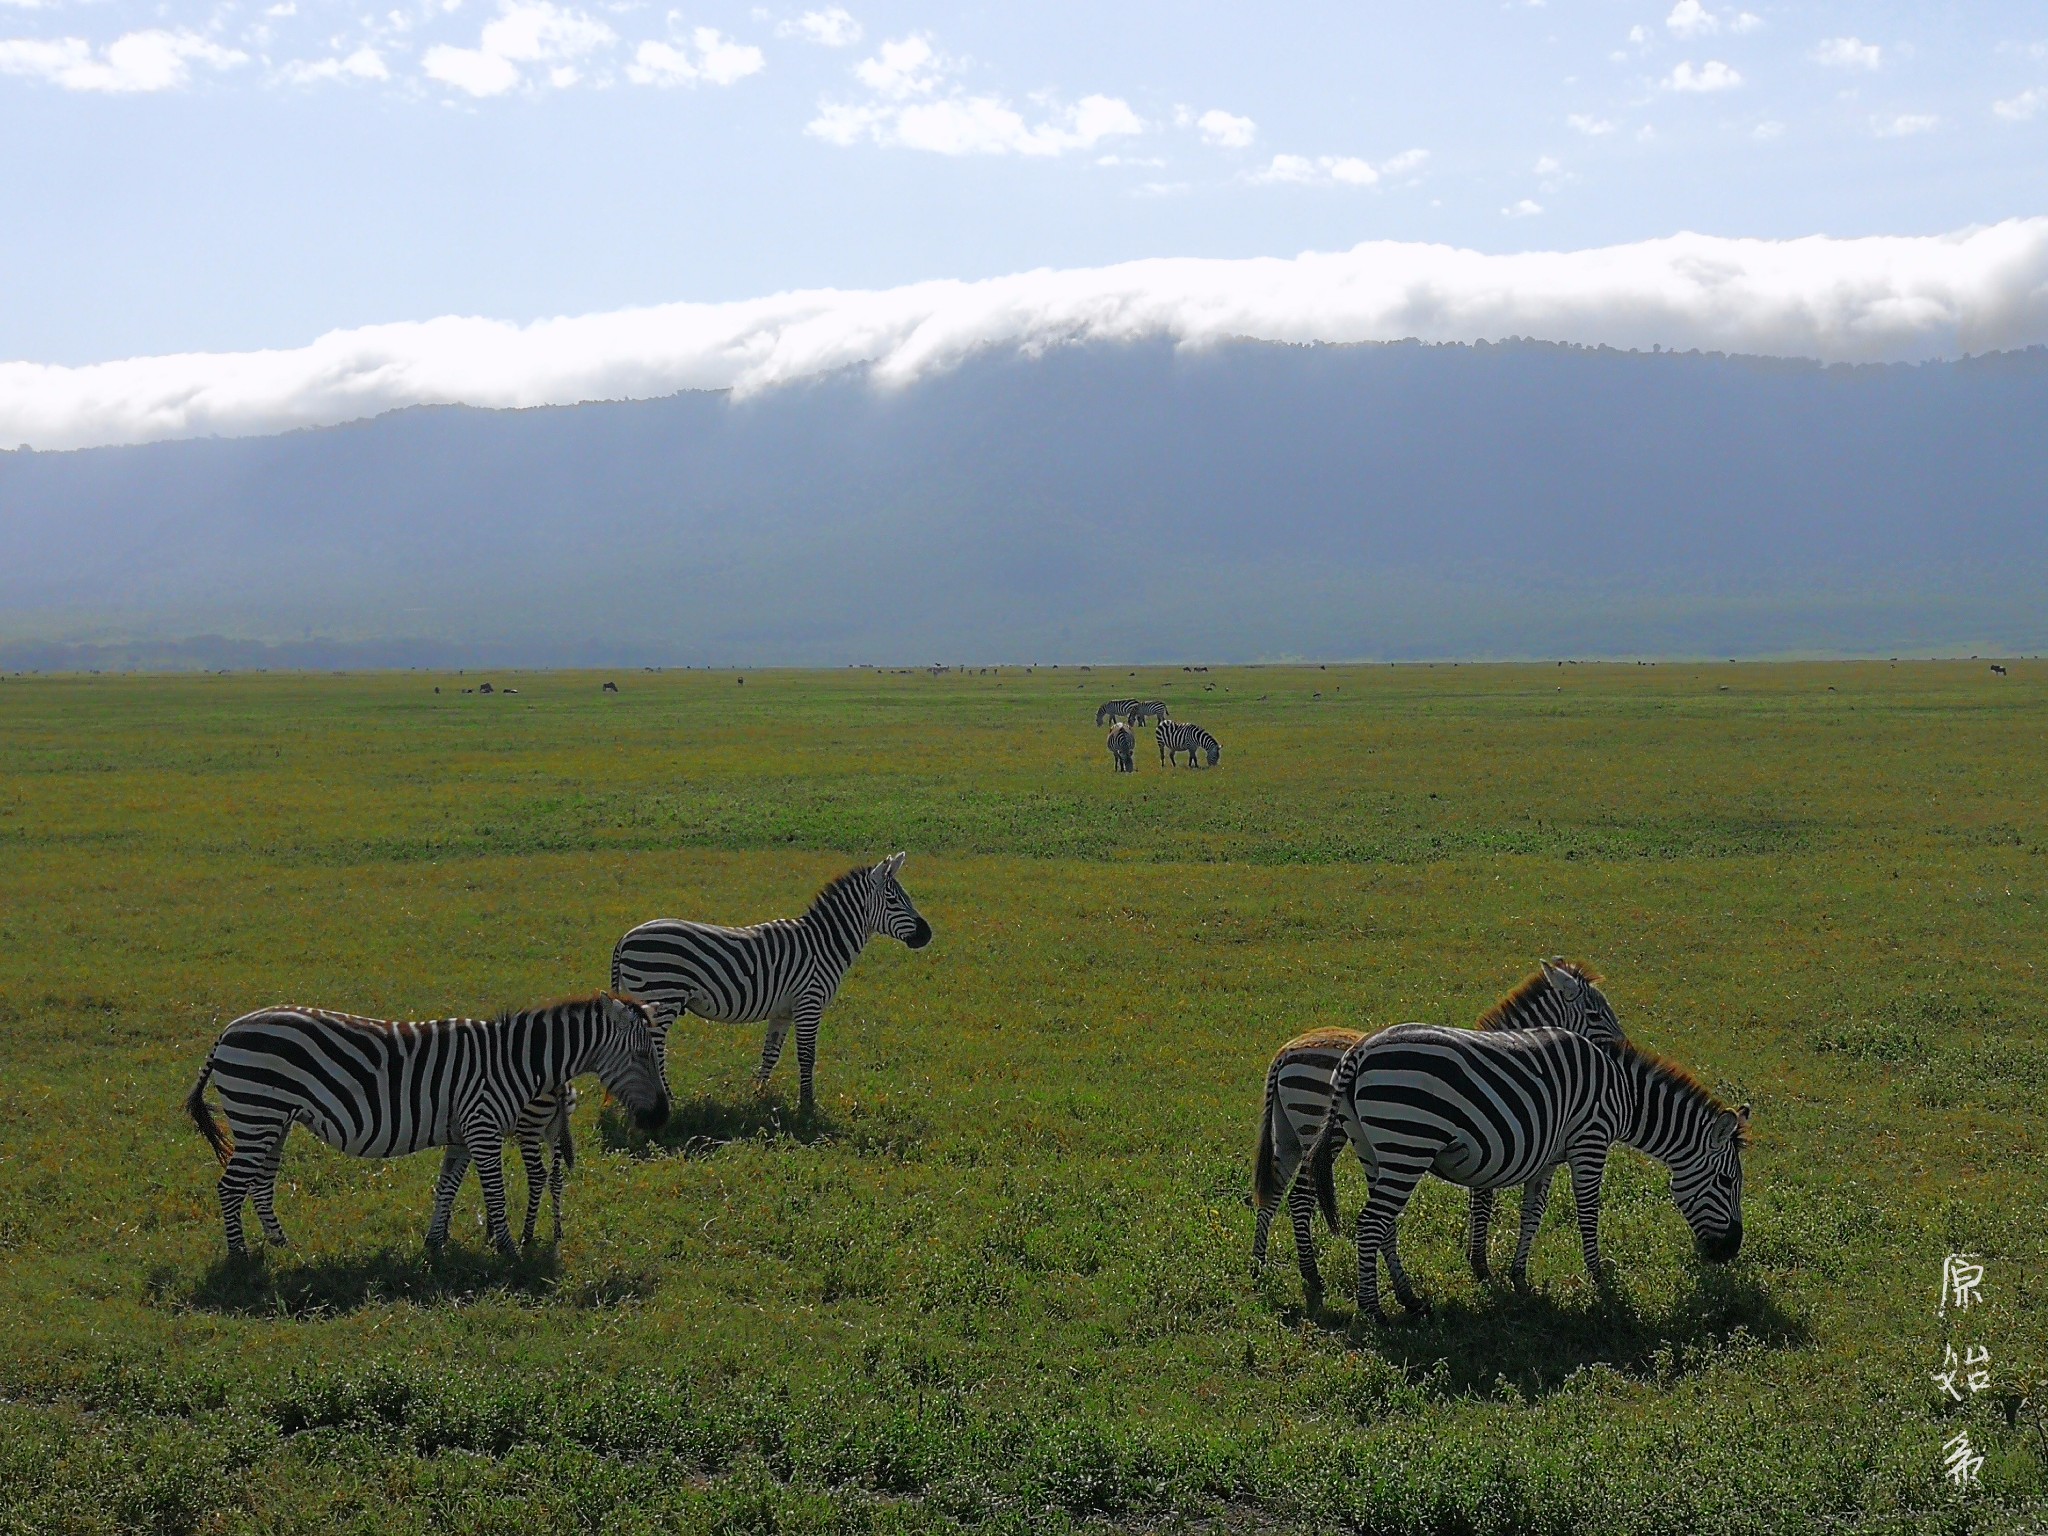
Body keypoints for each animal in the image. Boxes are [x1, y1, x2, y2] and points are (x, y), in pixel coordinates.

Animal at [183, 999, 663, 1261]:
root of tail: (227, 1031)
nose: (660, 1118)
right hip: (257, 1113)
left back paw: (282, 1245)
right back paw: (240, 1257)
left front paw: (435, 1244)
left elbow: (446, 1188)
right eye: (642, 1055)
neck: (512, 1061)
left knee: (260, 1186)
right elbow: (494, 1193)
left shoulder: (463, 1135)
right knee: (230, 1187)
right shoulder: (483, 1128)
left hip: (273, 1121)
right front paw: (508, 1250)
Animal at [598, 856, 937, 1122]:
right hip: (661, 997)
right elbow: (807, 1055)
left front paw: (759, 1096)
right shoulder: (809, 1003)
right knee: (653, 1050)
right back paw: (669, 1100)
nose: (927, 934)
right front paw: (807, 1105)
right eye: (894, 900)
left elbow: (770, 1055)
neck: (824, 943)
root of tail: (625, 937)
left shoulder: (783, 1012)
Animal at [1310, 1028, 1744, 1318]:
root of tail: (1359, 1051)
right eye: (1726, 1182)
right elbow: (1589, 1212)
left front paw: (1519, 1278)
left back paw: (1408, 1297)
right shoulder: (1590, 1140)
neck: (1625, 1095)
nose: (1731, 1251)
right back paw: (1374, 1309)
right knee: (1371, 1223)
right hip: (1407, 1141)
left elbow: (1531, 1215)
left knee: (1385, 1226)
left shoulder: (1549, 1156)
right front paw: (1600, 1275)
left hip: (1373, 1149)